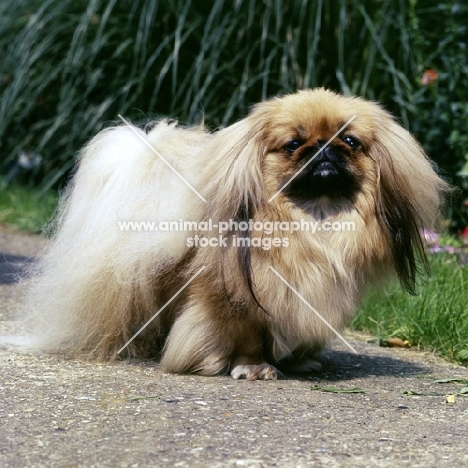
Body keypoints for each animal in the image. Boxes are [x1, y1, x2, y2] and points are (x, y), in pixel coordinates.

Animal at [18, 88, 446, 380]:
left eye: (350, 141)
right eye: (294, 143)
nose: (324, 150)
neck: (314, 221)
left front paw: (300, 360)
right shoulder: (231, 299)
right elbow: (247, 336)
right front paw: (254, 367)